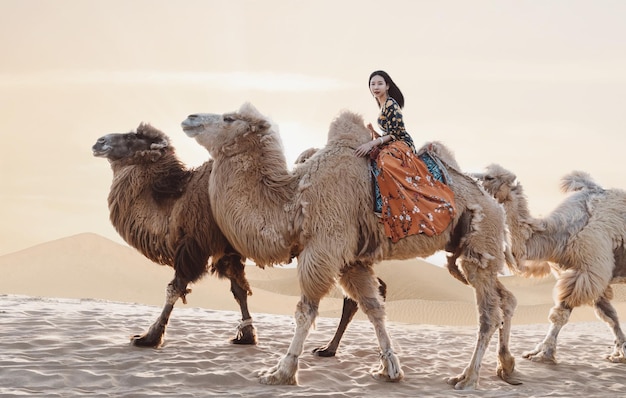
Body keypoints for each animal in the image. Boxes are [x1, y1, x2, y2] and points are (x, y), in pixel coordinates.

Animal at [183, 102, 520, 388]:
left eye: (229, 118)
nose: (189, 118)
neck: (293, 203)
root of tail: (496, 206)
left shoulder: (323, 248)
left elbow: (305, 311)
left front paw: (281, 372)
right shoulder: (352, 261)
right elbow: (374, 307)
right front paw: (389, 369)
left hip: (480, 244)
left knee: (489, 314)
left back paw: (468, 378)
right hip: (464, 257)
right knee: (505, 298)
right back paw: (505, 367)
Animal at [472, 164, 624, 364]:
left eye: (490, 177)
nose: (471, 179)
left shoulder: (589, 271)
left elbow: (560, 315)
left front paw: (541, 353)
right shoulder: (591, 277)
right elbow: (610, 316)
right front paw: (619, 353)